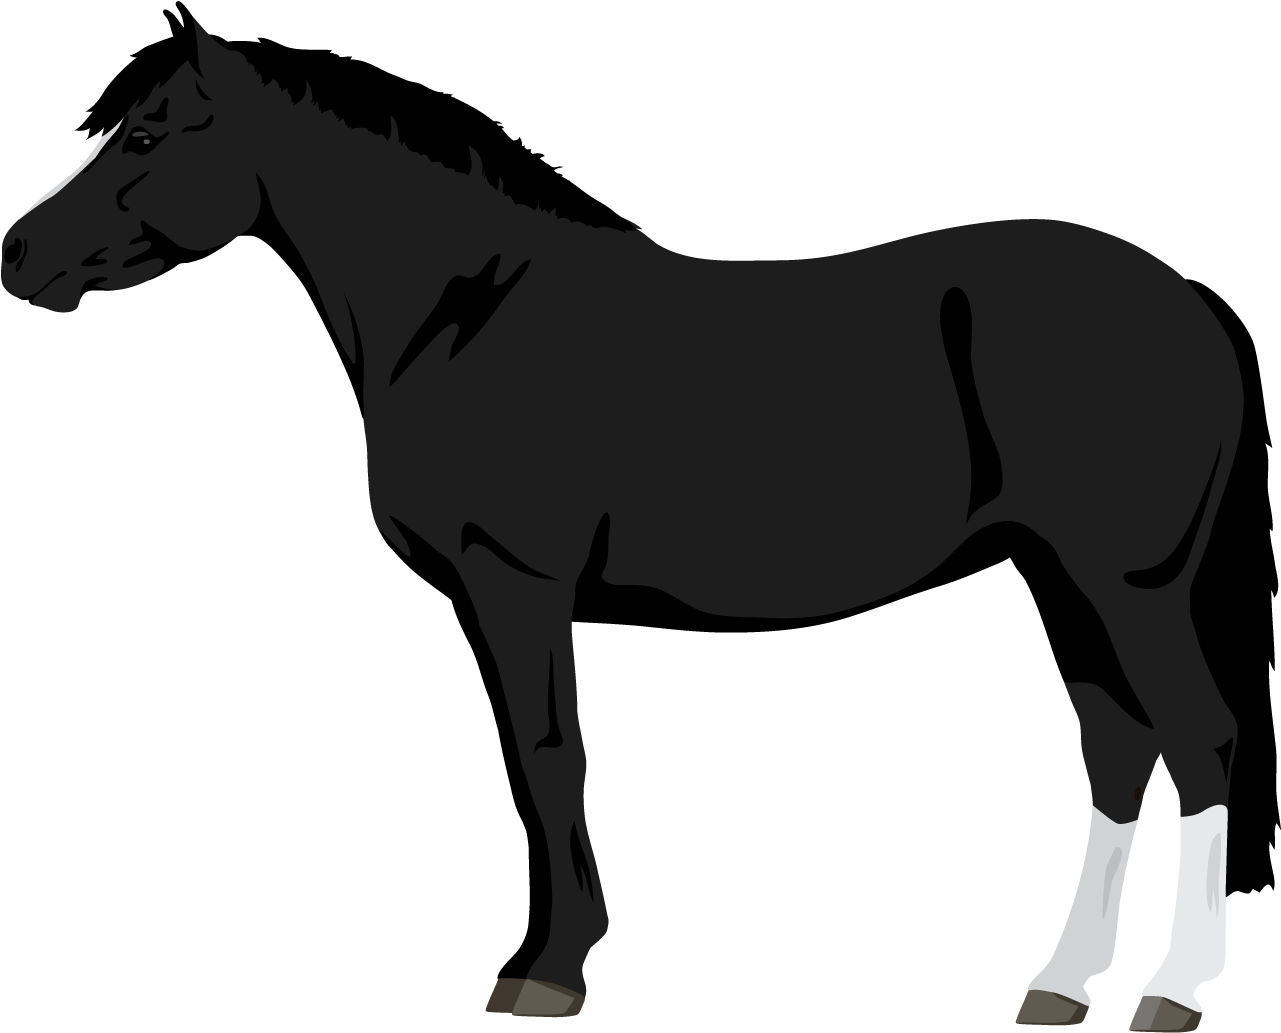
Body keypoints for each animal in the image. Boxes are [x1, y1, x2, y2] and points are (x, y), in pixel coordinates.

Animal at [2, 20, 1241, 1027]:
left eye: (149, 135)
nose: (15, 251)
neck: (463, 312)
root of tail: (1204, 331)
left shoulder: (519, 573)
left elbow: (551, 752)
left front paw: (554, 970)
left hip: (1126, 585)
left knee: (1199, 739)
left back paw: (1171, 992)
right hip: (1050, 591)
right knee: (1121, 750)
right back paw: (1058, 985)